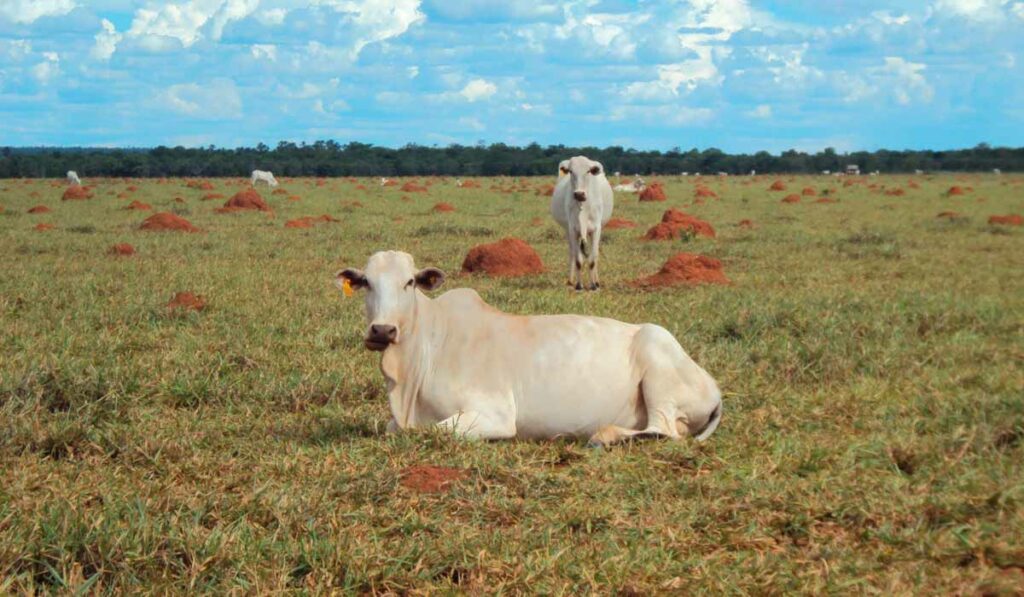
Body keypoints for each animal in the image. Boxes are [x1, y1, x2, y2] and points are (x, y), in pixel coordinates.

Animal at [333, 249, 720, 446]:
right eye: (366, 282)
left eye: (409, 282)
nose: (382, 330)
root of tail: (713, 387)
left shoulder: (494, 414)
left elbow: (428, 430)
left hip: (658, 367)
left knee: (665, 430)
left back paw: (604, 435)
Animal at [552, 156, 614, 292]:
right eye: (570, 171)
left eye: (588, 171)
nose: (579, 194)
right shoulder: (572, 230)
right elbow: (578, 260)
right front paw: (579, 286)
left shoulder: (596, 229)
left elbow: (592, 259)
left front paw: (594, 286)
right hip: (568, 231)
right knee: (572, 253)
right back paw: (570, 281)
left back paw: (597, 281)